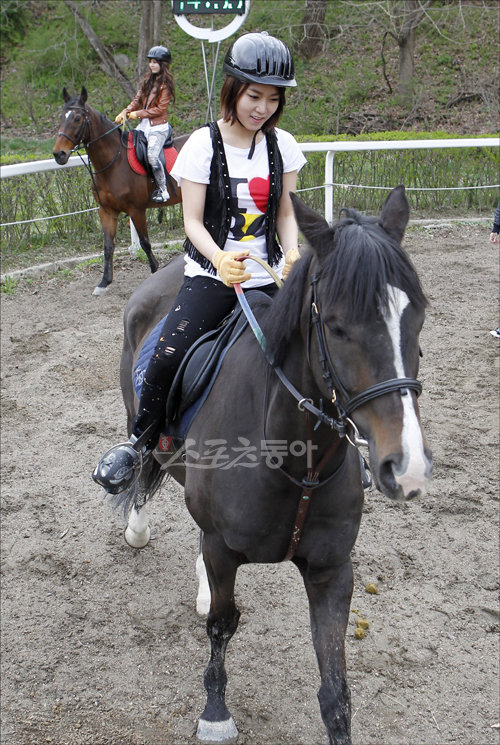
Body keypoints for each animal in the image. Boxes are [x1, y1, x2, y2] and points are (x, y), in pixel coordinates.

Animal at [53, 86, 188, 294]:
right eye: (62, 116)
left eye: (77, 118)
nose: (59, 154)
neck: (113, 164)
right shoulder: (107, 211)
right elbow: (108, 246)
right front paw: (104, 282)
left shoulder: (136, 210)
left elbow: (145, 243)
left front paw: (154, 271)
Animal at [111, 185, 432, 740]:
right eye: (335, 326)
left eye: (418, 316)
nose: (405, 467)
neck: (296, 461)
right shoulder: (223, 550)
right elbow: (223, 624)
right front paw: (215, 713)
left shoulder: (331, 569)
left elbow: (335, 691)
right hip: (143, 416)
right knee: (144, 459)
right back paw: (136, 522)